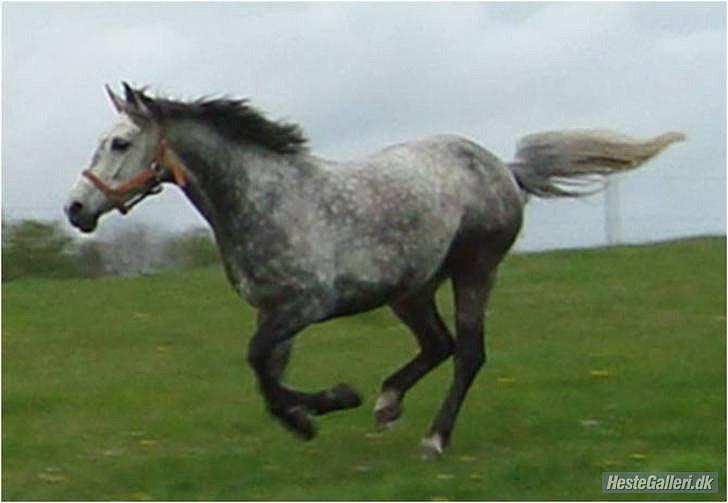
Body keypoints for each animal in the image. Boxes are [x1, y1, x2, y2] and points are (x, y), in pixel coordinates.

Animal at [64, 83, 684, 456]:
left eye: (120, 143)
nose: (75, 209)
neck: (262, 200)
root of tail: (504, 169)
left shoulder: (305, 304)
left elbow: (259, 363)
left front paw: (330, 403)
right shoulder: (274, 311)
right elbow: (266, 376)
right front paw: (311, 416)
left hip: (474, 271)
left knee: (469, 353)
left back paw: (434, 438)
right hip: (409, 289)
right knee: (438, 345)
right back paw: (389, 404)